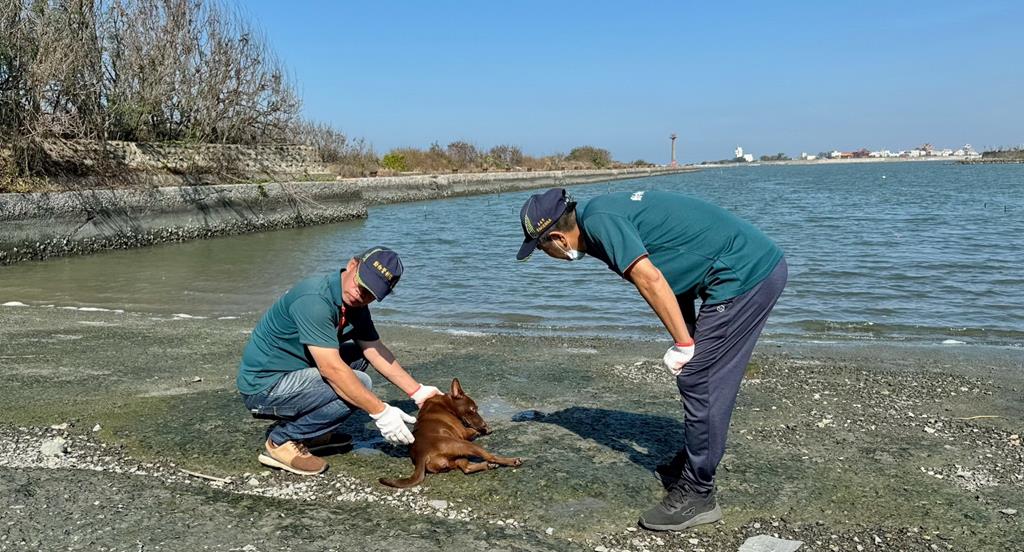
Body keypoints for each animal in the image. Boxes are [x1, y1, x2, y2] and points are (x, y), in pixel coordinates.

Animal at [378, 378, 524, 489]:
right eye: (473, 409)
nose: (483, 424)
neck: (446, 403)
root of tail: (421, 455)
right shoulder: (464, 432)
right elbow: (473, 430)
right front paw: (486, 429)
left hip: (458, 456)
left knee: (467, 468)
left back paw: (488, 465)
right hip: (463, 444)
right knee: (490, 457)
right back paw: (511, 461)